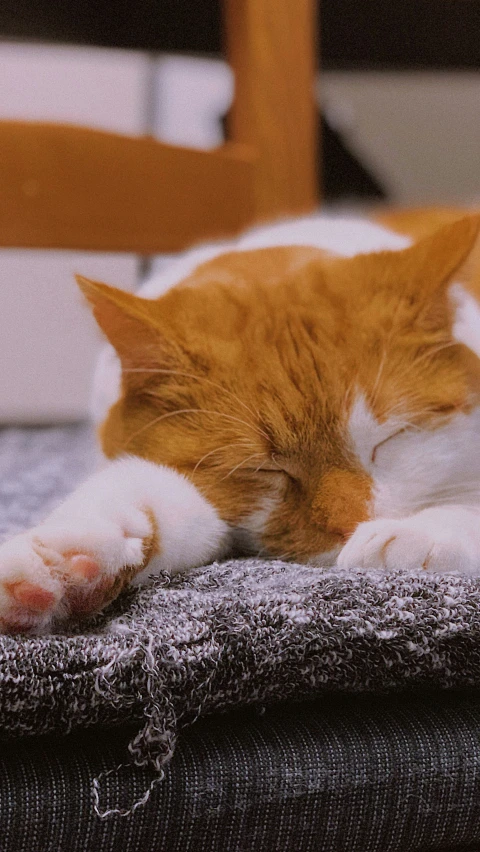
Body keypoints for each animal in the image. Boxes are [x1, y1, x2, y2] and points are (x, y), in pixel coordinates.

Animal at [0, 208, 480, 632]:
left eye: (390, 439)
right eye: (266, 469)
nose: (351, 525)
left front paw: (413, 536)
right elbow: (132, 496)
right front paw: (62, 562)